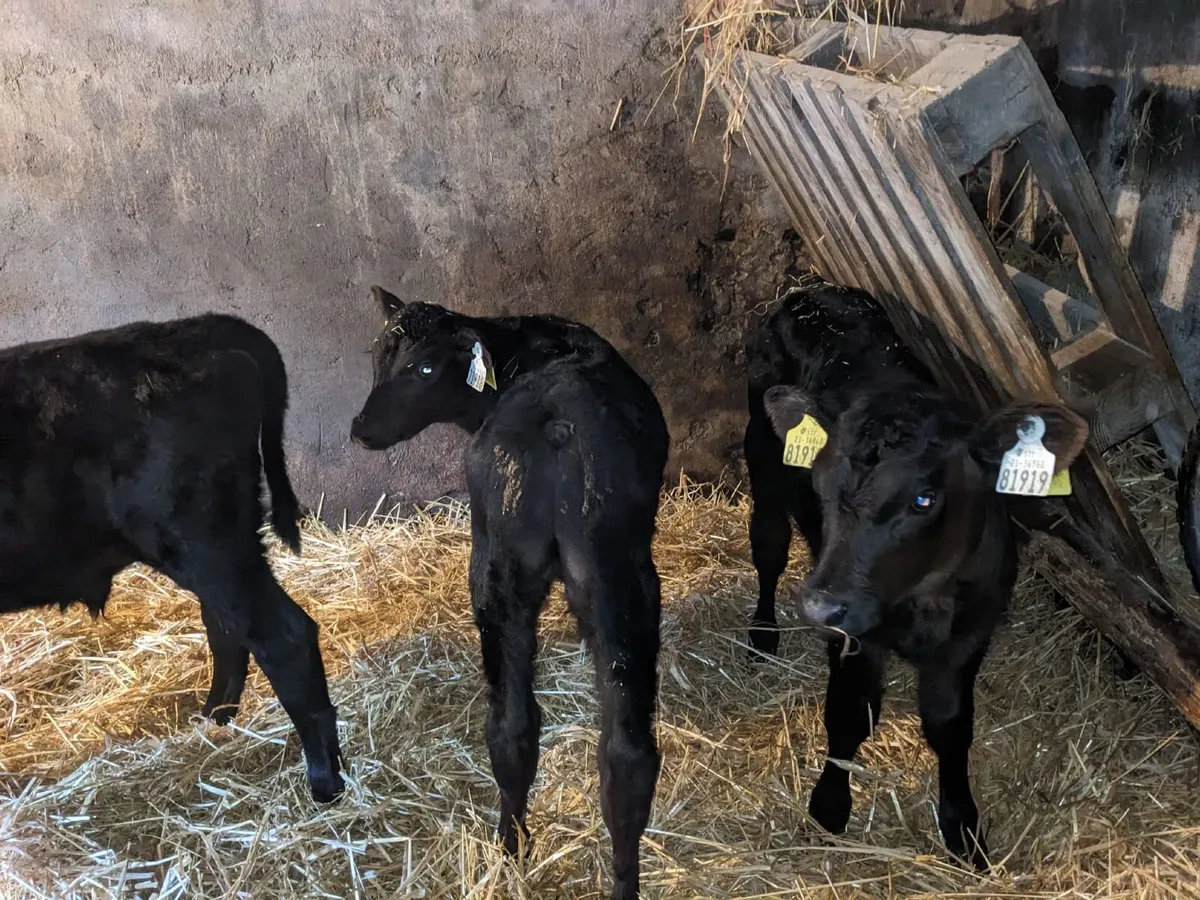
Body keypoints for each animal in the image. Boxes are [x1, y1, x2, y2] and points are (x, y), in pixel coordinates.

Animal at [0, 314, 344, 804]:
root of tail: (198, 327)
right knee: (227, 629)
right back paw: (211, 721)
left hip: (201, 540)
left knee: (282, 636)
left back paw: (323, 781)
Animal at [351, 287, 669, 900]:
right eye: (377, 357)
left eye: (424, 368)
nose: (360, 428)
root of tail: (555, 427)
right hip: (600, 568)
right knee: (596, 744)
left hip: (511, 564)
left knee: (529, 730)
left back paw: (518, 849)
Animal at [747, 283, 1087, 867]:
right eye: (819, 481)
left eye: (924, 498)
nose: (819, 606)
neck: (919, 601)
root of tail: (807, 290)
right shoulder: (854, 636)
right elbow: (850, 712)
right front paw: (830, 804)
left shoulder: (973, 628)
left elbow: (950, 725)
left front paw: (963, 826)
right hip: (762, 466)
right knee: (767, 549)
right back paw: (762, 632)